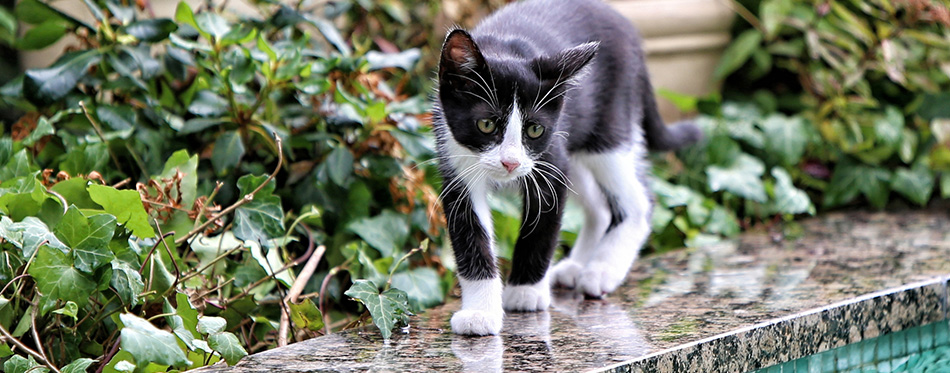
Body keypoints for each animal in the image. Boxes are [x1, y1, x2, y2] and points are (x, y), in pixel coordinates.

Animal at [436, 0, 704, 334]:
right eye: (485, 125)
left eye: (534, 129)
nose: (510, 162)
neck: (505, 47)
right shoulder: (456, 164)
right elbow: (471, 236)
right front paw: (479, 312)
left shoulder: (551, 160)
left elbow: (541, 228)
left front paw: (525, 291)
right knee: (600, 208)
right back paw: (576, 267)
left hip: (608, 131)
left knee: (639, 200)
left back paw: (602, 269)